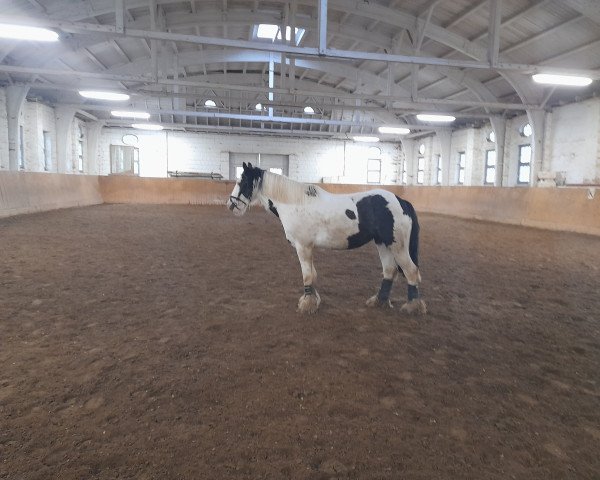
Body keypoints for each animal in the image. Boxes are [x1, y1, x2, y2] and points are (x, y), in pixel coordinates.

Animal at [226, 163, 426, 316]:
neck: (295, 203)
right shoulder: (307, 247)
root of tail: (401, 201)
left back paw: (413, 307)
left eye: (243, 181)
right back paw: (379, 301)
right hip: (383, 244)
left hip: (397, 246)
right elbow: (313, 275)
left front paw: (306, 304)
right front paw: (313, 300)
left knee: (411, 271)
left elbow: (307, 275)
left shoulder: (303, 246)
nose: (231, 205)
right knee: (389, 271)